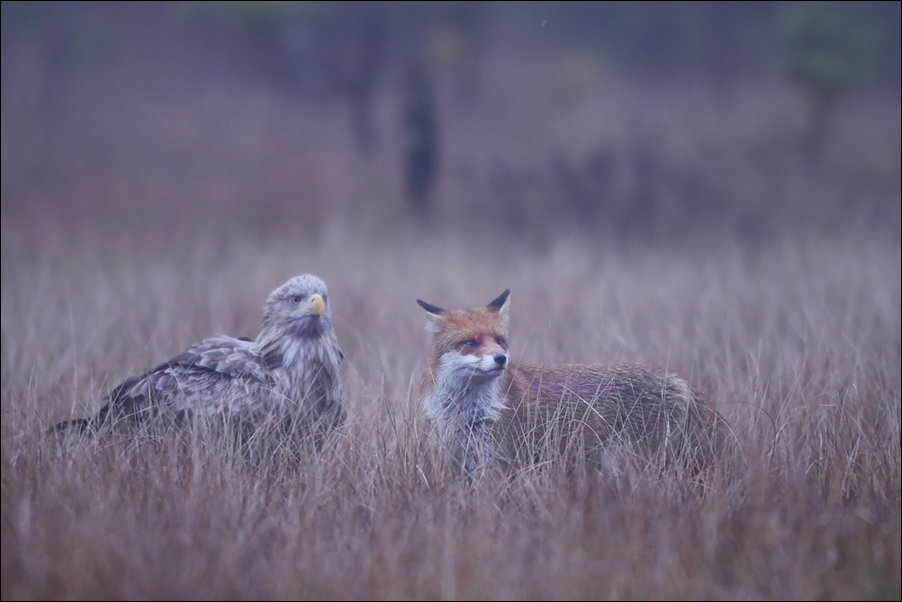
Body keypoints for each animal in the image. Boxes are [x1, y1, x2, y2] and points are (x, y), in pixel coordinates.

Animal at [416, 289, 729, 476]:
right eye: (470, 342)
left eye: (500, 340)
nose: (501, 358)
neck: (465, 412)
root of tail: (680, 381)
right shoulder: (458, 460)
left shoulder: (499, 463)